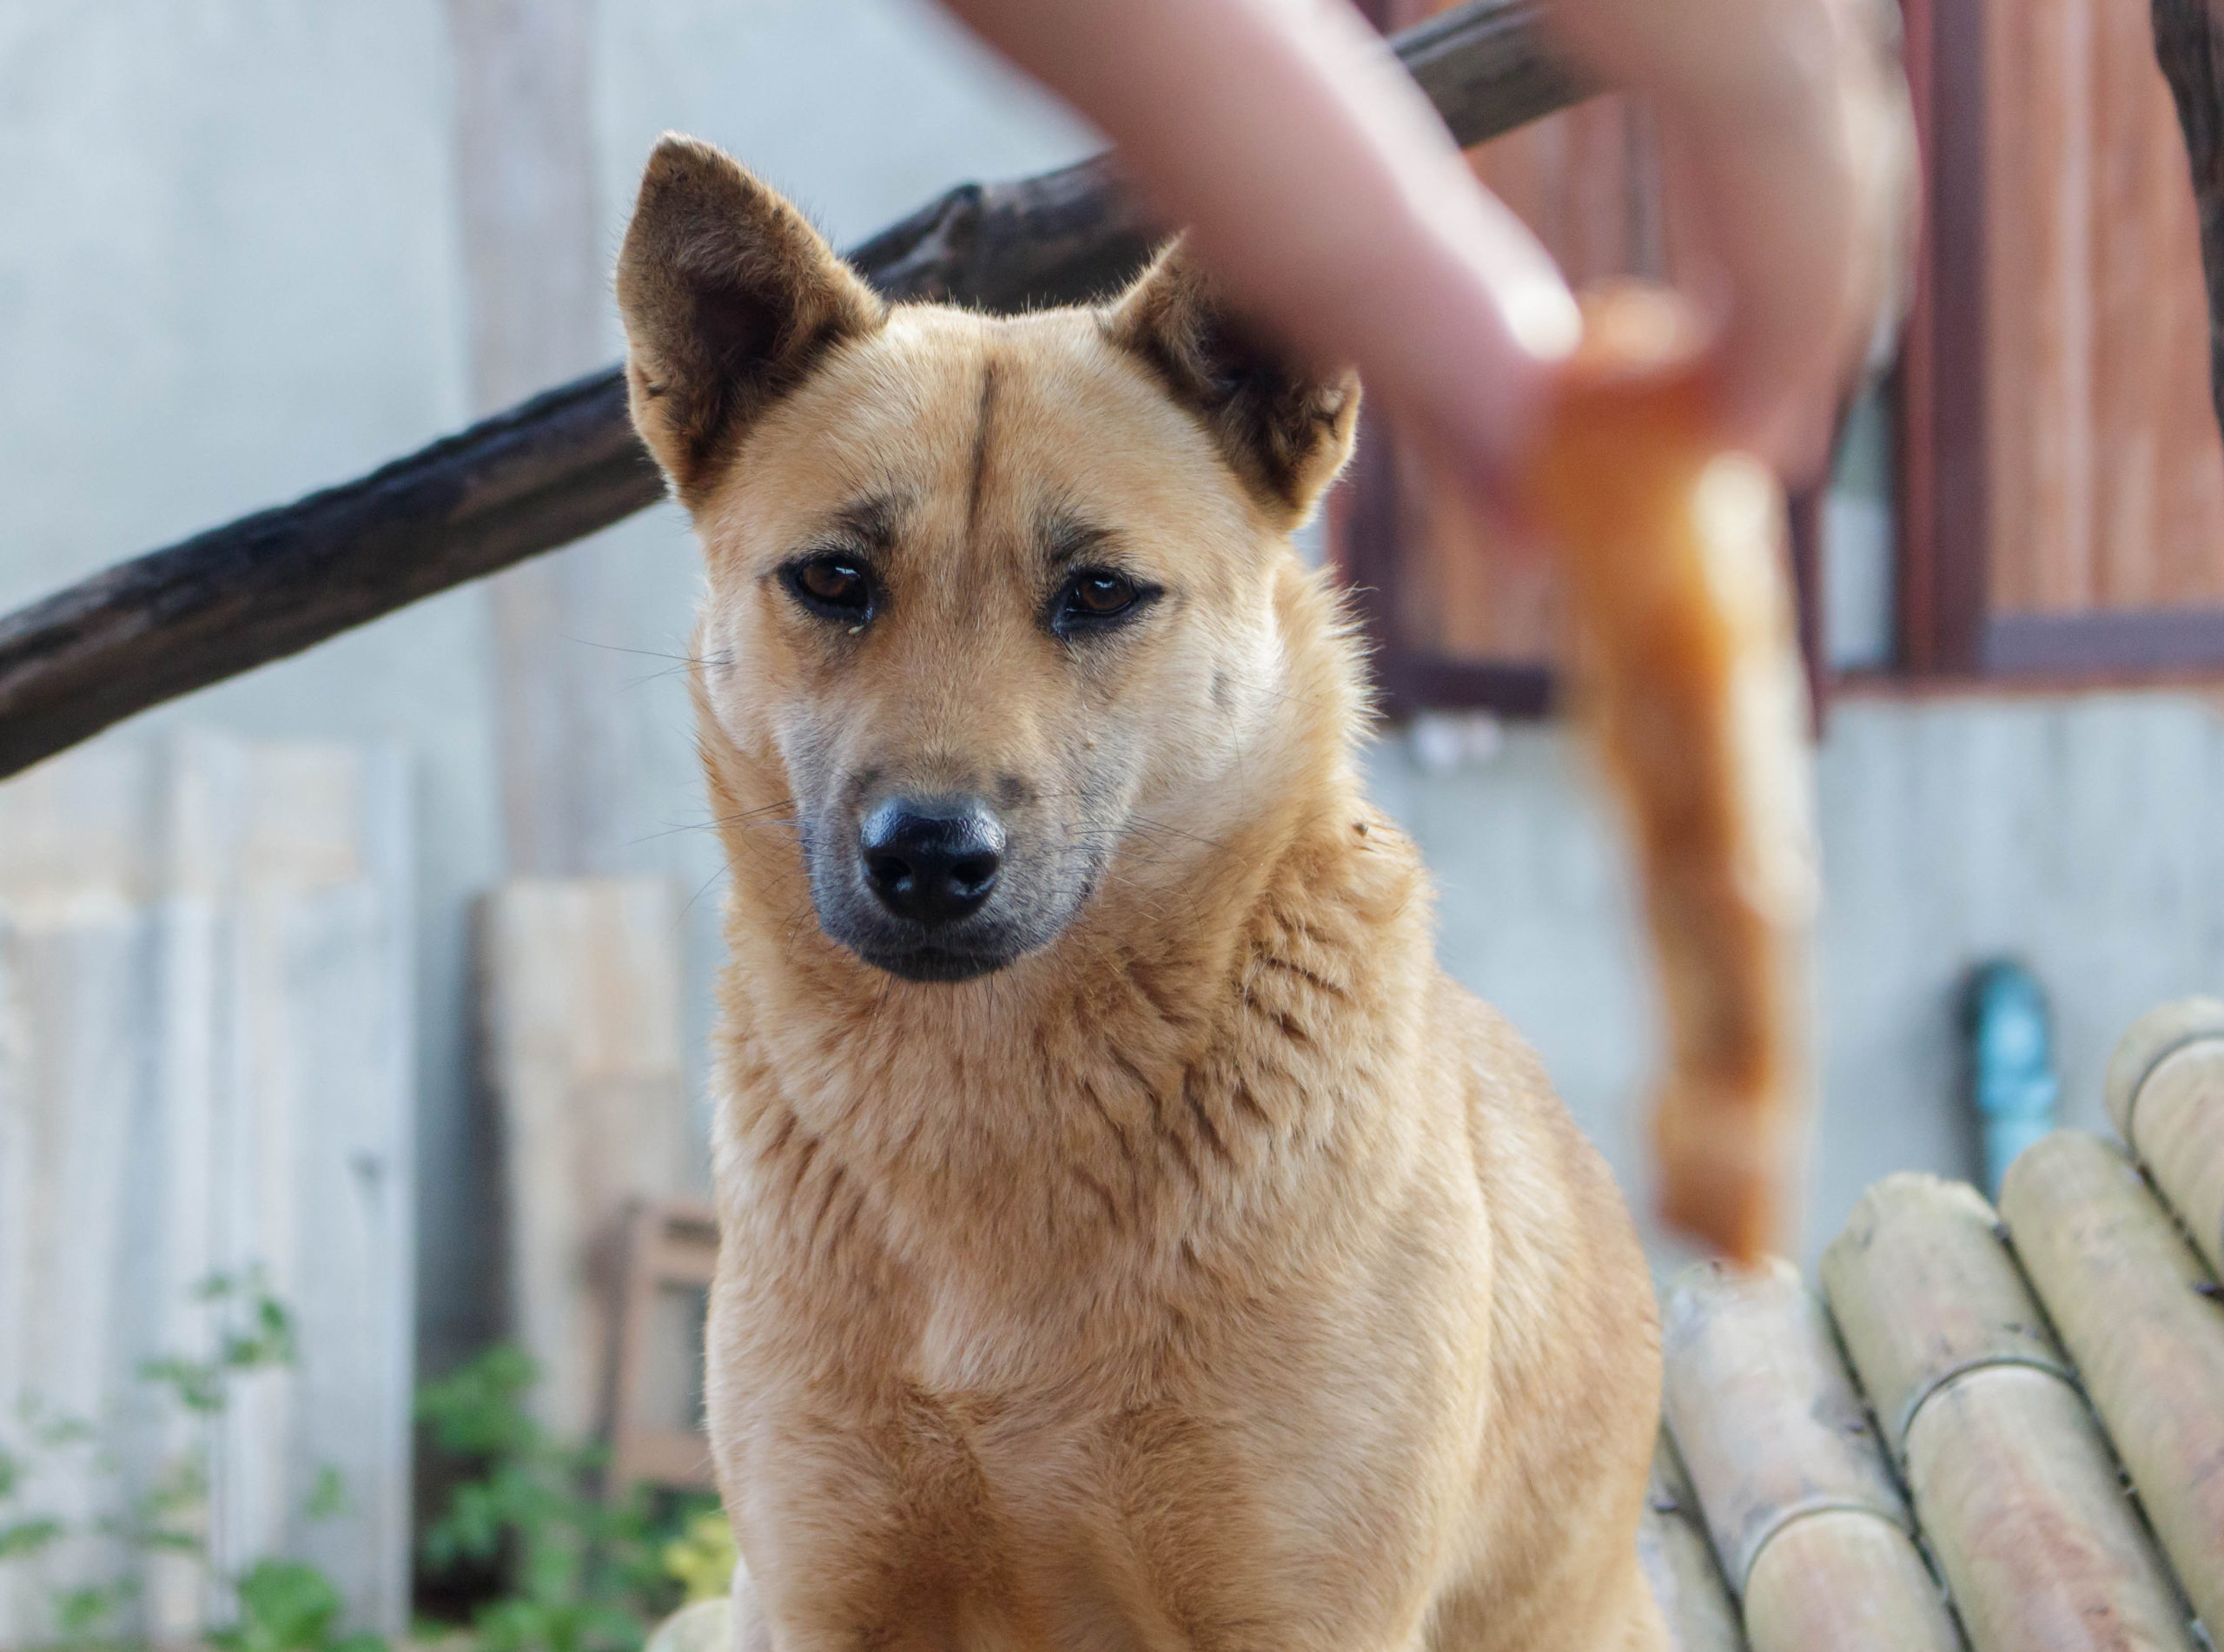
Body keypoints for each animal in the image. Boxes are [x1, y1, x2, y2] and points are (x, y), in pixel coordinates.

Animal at [618, 138, 1663, 1652]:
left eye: (1101, 592)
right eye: (833, 578)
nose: (929, 856)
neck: (991, 1101)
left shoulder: (1308, 1614)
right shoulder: (822, 1593)